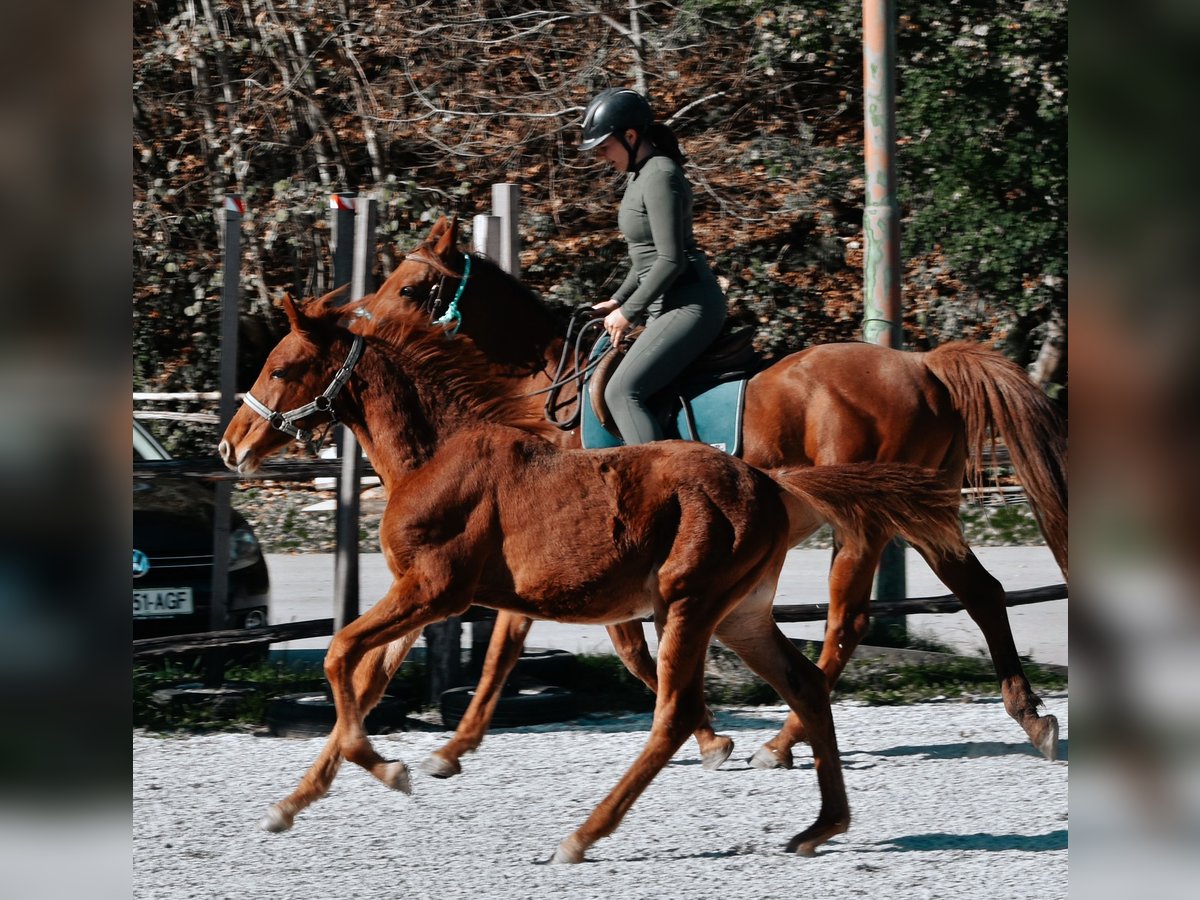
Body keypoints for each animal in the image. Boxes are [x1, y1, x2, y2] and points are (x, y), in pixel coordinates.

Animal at [367, 217, 1070, 768]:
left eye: (409, 288)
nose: (358, 326)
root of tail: (923, 366)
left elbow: (623, 645)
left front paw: (705, 734)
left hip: (864, 522)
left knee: (847, 622)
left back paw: (784, 741)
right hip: (921, 514)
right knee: (981, 592)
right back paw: (1033, 719)